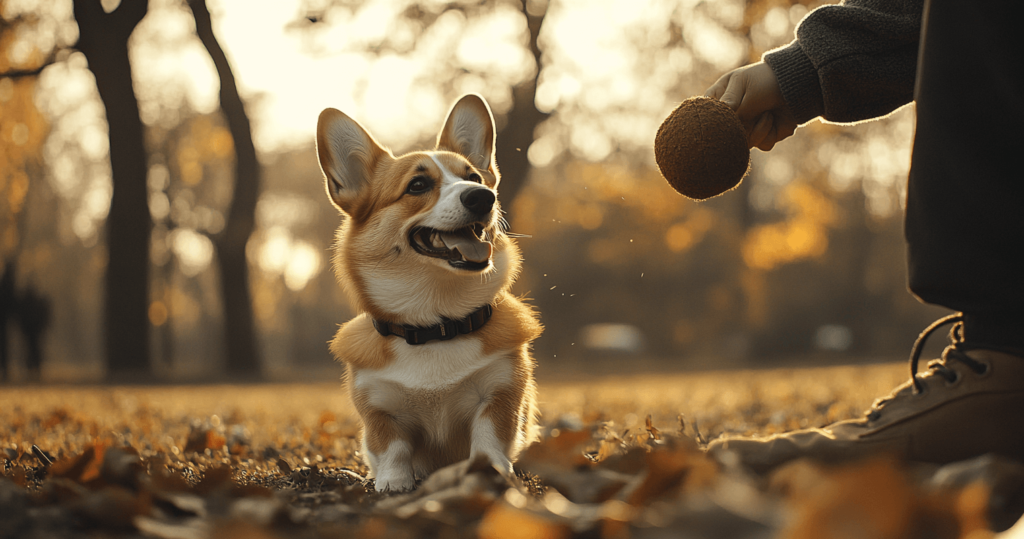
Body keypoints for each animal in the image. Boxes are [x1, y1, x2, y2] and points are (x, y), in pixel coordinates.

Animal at [315, 94, 544, 493]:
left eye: (473, 177)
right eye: (418, 185)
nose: (483, 197)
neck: (436, 322)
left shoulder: (500, 393)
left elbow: (489, 438)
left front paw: (489, 473)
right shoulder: (379, 407)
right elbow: (392, 448)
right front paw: (393, 484)